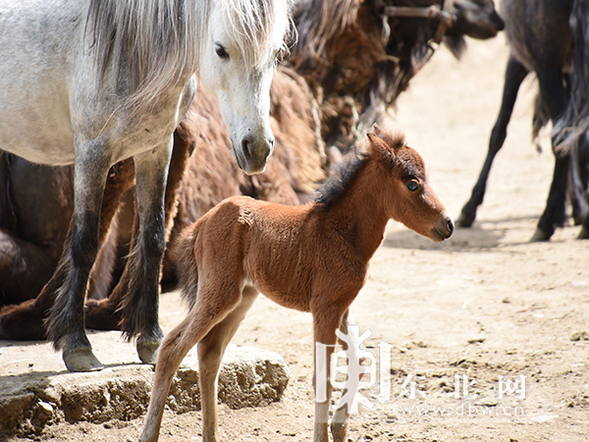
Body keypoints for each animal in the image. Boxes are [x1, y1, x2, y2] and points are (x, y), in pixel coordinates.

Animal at [0, 0, 292, 372]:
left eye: (277, 53)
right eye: (221, 50)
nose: (257, 149)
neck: (126, 48)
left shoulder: (156, 149)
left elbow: (153, 239)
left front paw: (151, 341)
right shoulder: (92, 154)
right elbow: (85, 243)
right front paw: (77, 347)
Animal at [139, 125, 454, 442]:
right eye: (412, 184)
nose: (448, 224)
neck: (342, 233)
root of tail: (201, 223)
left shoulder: (341, 307)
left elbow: (361, 361)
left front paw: (339, 428)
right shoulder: (324, 307)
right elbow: (323, 377)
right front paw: (324, 435)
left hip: (241, 297)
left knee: (209, 352)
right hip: (219, 292)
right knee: (173, 347)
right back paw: (150, 433)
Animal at [458, 0, 588, 242]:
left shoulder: (517, 60)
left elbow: (498, 132)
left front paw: (470, 207)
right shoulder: (569, 71)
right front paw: (574, 207)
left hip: (546, 66)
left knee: (562, 137)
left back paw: (547, 222)